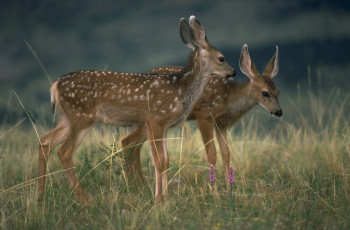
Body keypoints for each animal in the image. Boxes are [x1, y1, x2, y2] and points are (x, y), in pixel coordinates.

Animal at [37, 16, 235, 202]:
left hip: (68, 118)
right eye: (221, 58)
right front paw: (158, 200)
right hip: (82, 116)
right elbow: (159, 161)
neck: (181, 90)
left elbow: (166, 161)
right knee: (64, 152)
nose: (232, 72)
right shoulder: (155, 119)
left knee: (45, 142)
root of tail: (55, 86)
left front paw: (165, 198)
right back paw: (83, 199)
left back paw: (40, 197)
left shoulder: (164, 126)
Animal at [121, 44, 280, 190]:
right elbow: (211, 153)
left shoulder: (222, 123)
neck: (229, 97)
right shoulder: (205, 116)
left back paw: (138, 186)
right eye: (265, 93)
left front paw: (229, 190)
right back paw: (137, 187)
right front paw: (215, 192)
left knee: (132, 144)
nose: (279, 112)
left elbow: (226, 153)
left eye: (277, 91)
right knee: (128, 142)